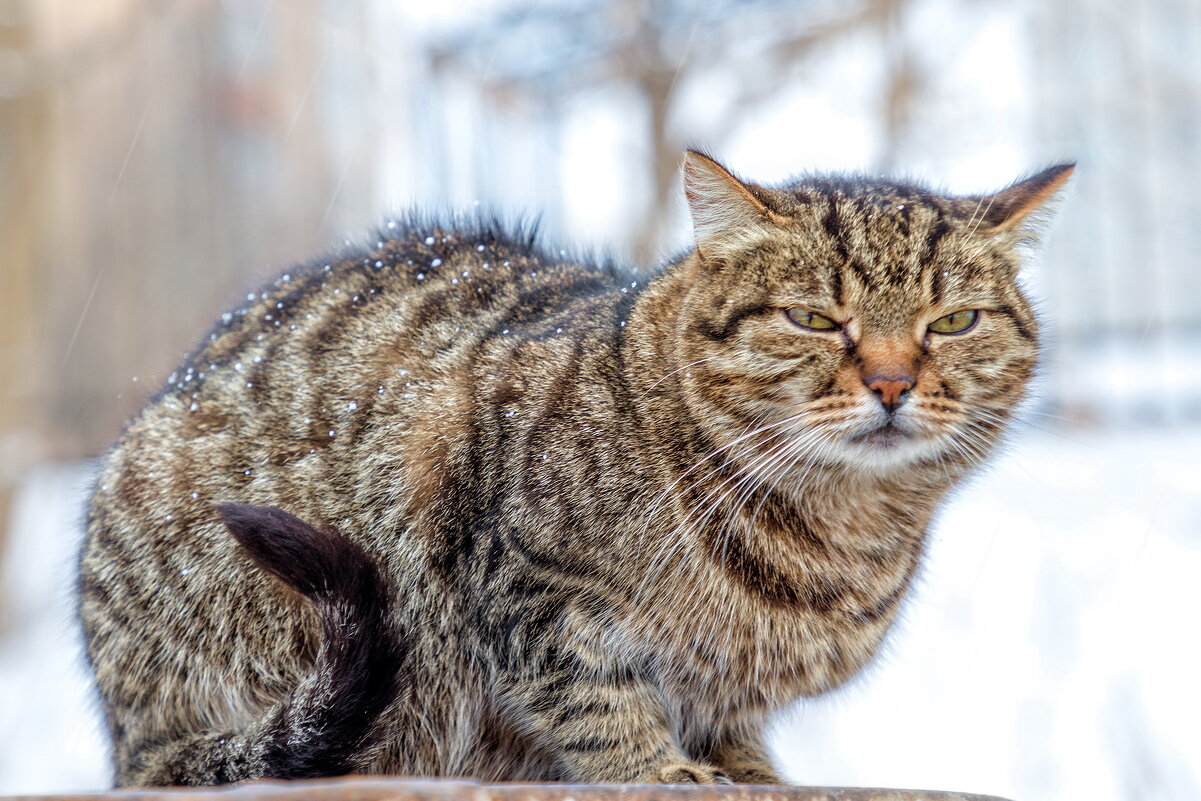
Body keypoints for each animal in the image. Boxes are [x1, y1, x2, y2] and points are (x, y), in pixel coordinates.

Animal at [75, 151, 1076, 787]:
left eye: (953, 322)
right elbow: (592, 699)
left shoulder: (727, 683)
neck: (835, 534)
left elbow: (730, 721)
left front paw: (744, 767)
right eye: (813, 319)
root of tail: (129, 741)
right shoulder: (525, 580)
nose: (892, 382)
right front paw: (661, 768)